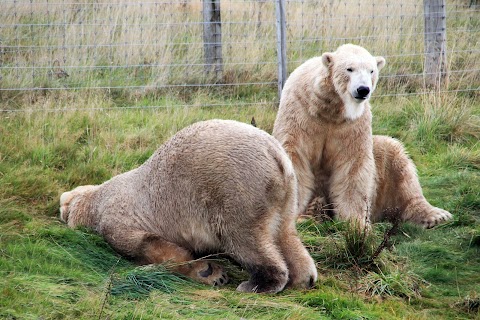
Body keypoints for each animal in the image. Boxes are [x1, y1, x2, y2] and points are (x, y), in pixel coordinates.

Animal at [60, 119, 316, 292]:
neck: (97, 199)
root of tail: (275, 154)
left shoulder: (117, 218)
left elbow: (147, 245)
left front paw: (208, 271)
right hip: (286, 194)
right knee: (284, 232)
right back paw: (304, 277)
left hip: (237, 190)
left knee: (244, 237)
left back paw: (257, 283)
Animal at [272, 43, 452, 229]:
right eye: (349, 69)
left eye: (371, 70)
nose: (363, 89)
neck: (331, 109)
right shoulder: (301, 115)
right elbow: (295, 158)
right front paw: (295, 217)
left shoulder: (352, 125)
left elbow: (353, 165)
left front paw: (356, 223)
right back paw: (311, 213)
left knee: (400, 165)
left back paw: (436, 215)